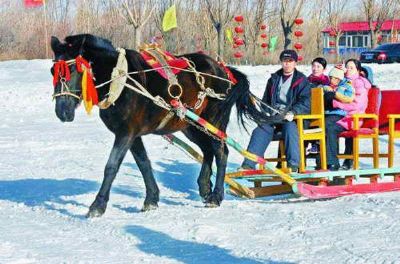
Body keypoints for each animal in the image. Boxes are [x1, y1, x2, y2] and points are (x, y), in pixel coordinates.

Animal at [50, 34, 276, 217]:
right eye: (53, 70)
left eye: (73, 68)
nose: (62, 112)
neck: (120, 81)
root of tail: (224, 69)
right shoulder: (133, 135)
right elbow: (144, 163)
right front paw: (151, 199)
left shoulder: (126, 133)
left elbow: (111, 166)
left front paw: (97, 205)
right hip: (190, 125)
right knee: (207, 150)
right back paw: (204, 188)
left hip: (214, 120)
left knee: (221, 151)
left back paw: (216, 196)